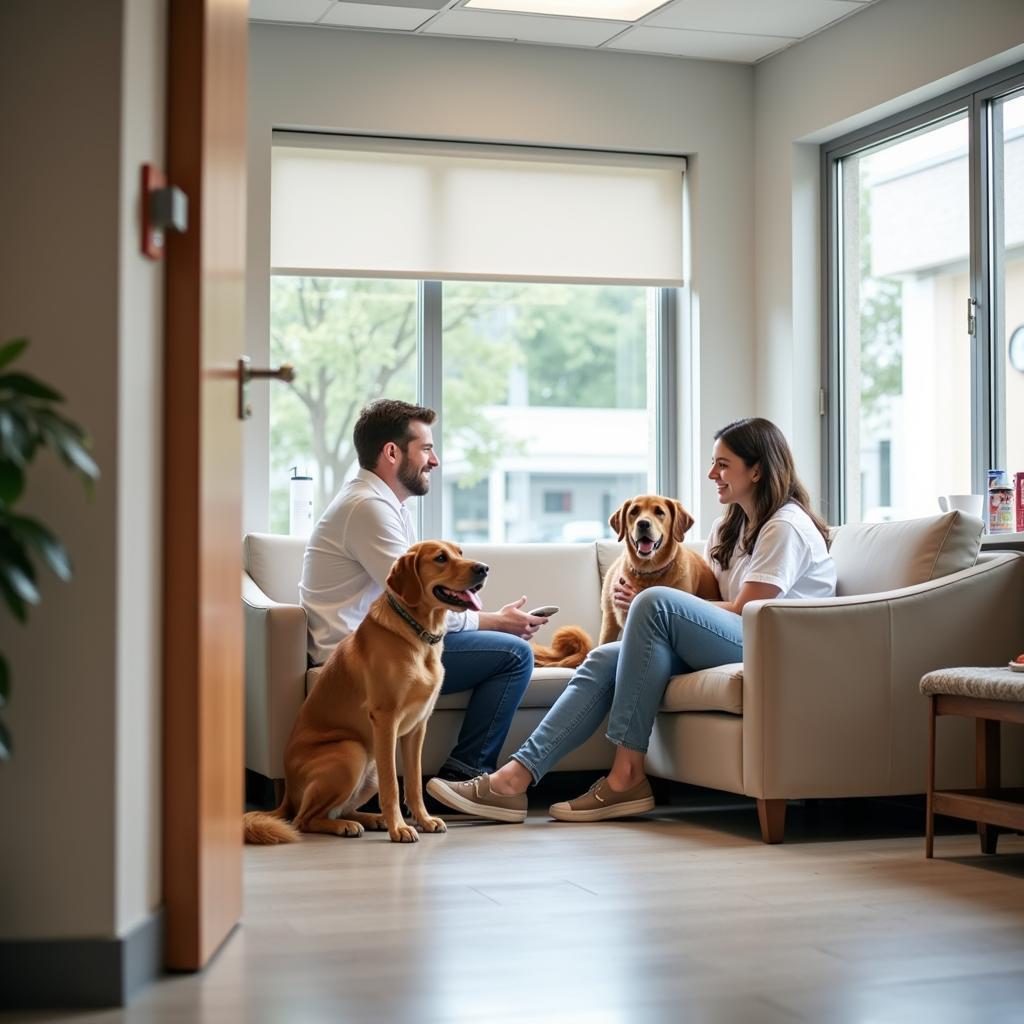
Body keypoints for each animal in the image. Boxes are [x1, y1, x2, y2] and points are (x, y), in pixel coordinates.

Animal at [246, 540, 487, 843]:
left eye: (460, 553)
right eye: (441, 558)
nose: (484, 568)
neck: (418, 635)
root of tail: (287, 792)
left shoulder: (418, 728)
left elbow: (414, 782)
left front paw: (423, 820)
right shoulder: (385, 720)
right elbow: (392, 785)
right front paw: (400, 828)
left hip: (367, 769)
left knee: (338, 810)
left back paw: (370, 820)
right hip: (352, 752)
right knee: (304, 819)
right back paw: (349, 825)